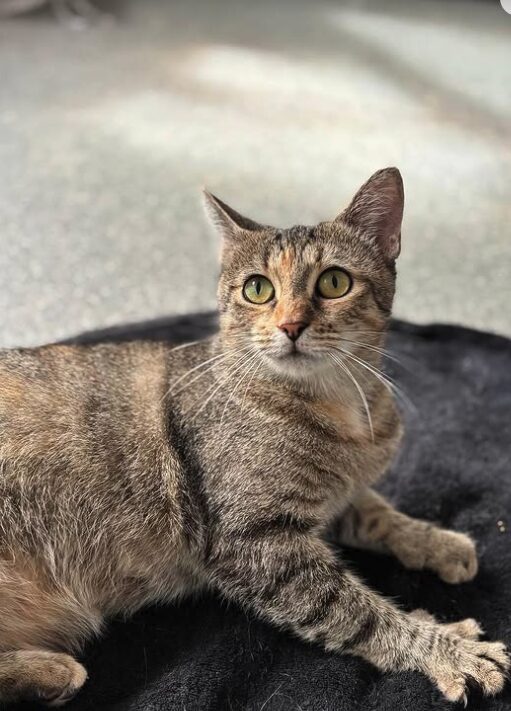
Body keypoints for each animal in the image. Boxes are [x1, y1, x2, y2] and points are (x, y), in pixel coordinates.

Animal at [0, 168, 508, 708]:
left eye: (334, 281)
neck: (341, 407)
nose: (290, 325)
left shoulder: (333, 500)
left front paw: (437, 542)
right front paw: (445, 646)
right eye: (258, 289)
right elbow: (358, 612)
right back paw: (51, 671)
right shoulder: (257, 542)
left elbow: (378, 513)